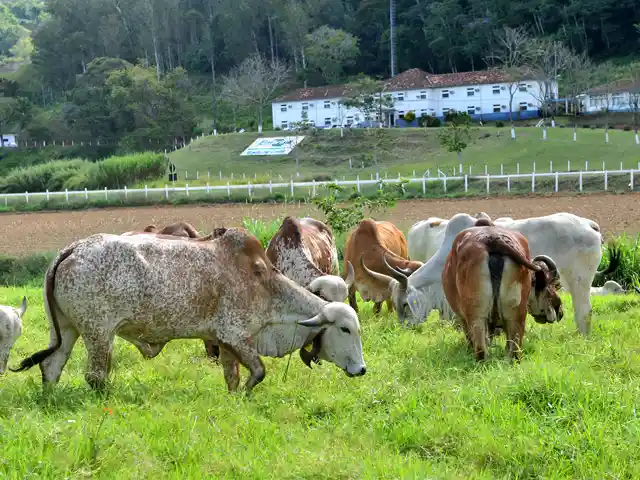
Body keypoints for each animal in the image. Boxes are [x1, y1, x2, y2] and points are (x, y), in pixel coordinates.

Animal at [12, 229, 368, 394]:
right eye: (345, 329)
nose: (362, 369)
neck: (264, 285)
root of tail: (72, 249)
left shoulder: (224, 343)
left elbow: (232, 377)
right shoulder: (236, 336)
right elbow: (258, 372)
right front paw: (246, 395)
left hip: (66, 330)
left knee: (51, 366)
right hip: (99, 334)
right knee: (95, 376)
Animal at [442, 218, 564, 360]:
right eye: (553, 285)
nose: (560, 311)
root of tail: (494, 239)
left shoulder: (462, 318)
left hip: (476, 316)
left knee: (480, 349)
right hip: (516, 313)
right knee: (514, 351)